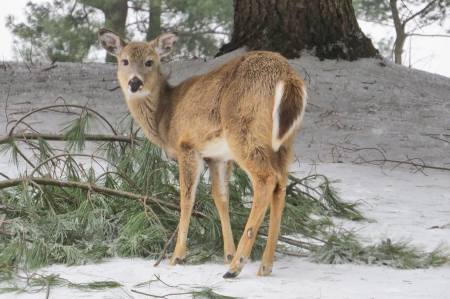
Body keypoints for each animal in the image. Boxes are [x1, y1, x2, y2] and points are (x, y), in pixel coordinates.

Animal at [99, 28, 308, 278]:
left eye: (150, 61)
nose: (134, 82)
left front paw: (177, 256)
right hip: (284, 142)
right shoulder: (219, 157)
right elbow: (221, 197)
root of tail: (288, 77)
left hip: (244, 129)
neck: (164, 116)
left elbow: (186, 198)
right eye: (125, 61)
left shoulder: (188, 146)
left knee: (267, 179)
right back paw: (263, 266)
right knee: (281, 184)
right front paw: (227, 252)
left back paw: (237, 266)